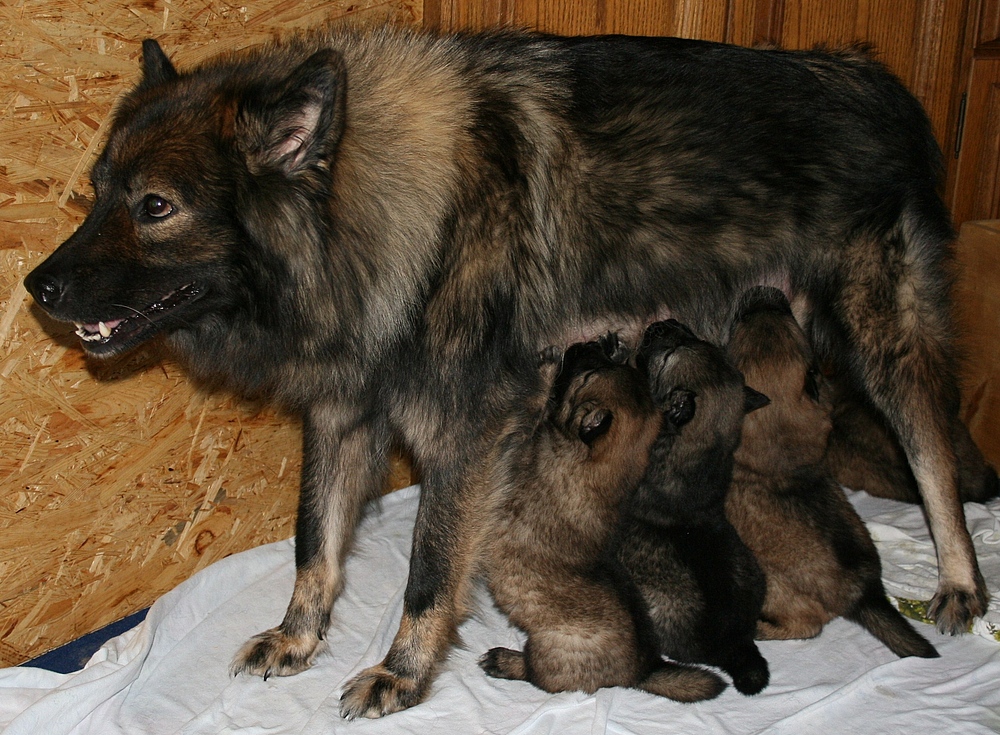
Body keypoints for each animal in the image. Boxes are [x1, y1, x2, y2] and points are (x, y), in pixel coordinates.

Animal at [480, 338, 724, 700]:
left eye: (587, 376)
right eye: (606, 364)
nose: (584, 343)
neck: (599, 468)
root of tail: (643, 670)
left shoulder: (532, 447)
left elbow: (539, 415)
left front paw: (547, 371)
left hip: (553, 652)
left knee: (537, 676)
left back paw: (504, 661)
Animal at [724, 284, 940, 660]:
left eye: (742, 321)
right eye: (782, 316)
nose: (765, 289)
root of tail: (862, 594)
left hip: (773, 587)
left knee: (807, 626)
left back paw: (761, 629)